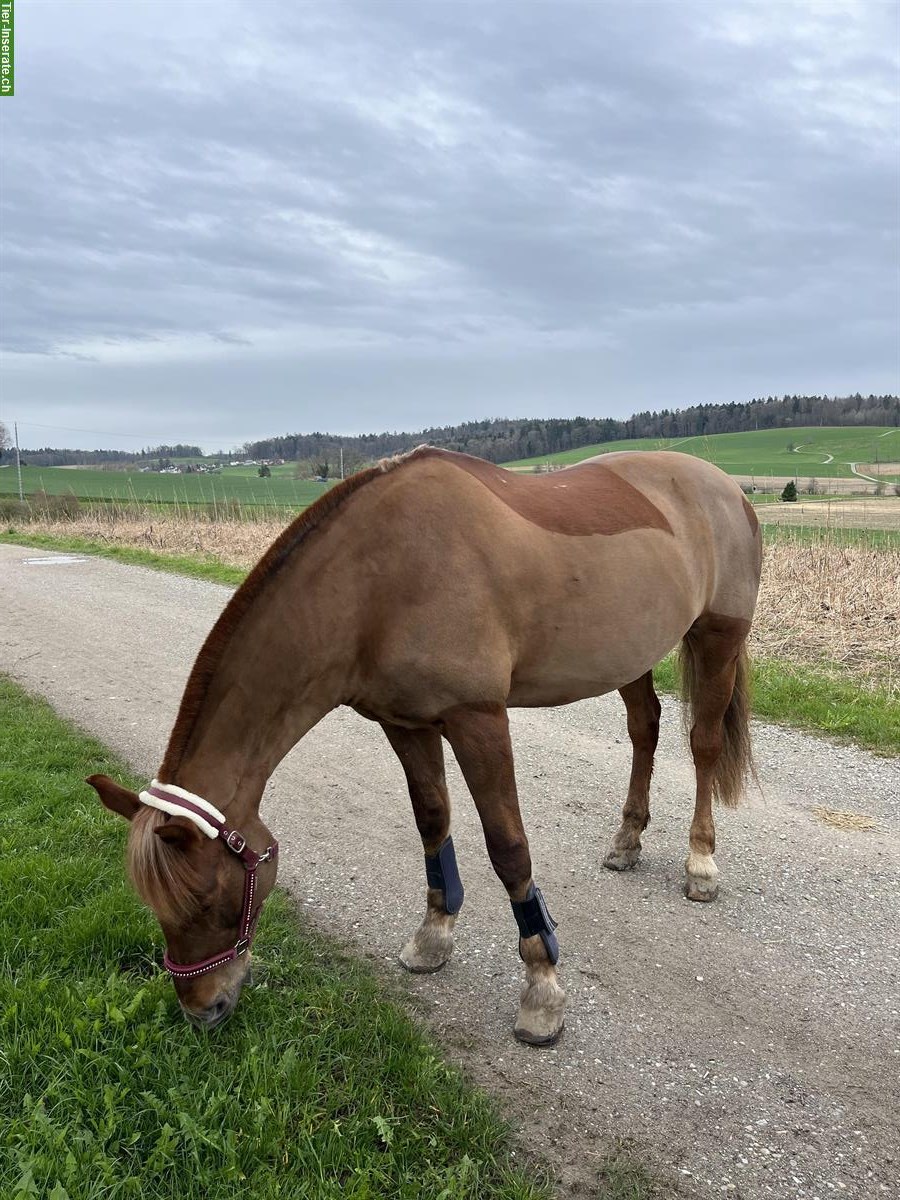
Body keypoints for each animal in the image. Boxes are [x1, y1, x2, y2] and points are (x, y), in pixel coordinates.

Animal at [90, 446, 763, 1046]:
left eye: (209, 898)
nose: (202, 1010)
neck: (377, 580)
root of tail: (727, 487)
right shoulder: (406, 724)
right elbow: (432, 821)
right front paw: (434, 935)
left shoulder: (479, 720)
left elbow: (509, 848)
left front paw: (542, 989)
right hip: (632, 655)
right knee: (645, 728)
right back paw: (626, 841)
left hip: (718, 637)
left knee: (703, 744)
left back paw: (700, 863)